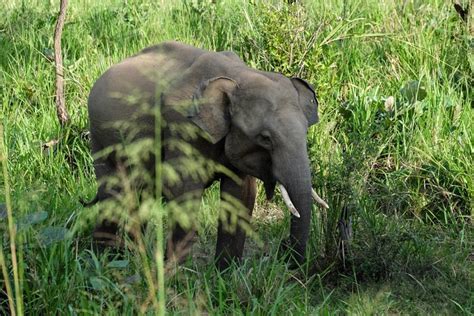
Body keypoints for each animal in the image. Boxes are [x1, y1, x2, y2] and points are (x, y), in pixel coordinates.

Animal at [87, 40, 326, 270]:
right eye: (265, 138)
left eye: (306, 131)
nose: (284, 251)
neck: (239, 76)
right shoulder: (182, 127)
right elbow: (185, 189)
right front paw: (175, 276)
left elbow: (240, 195)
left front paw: (225, 274)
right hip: (100, 138)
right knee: (112, 193)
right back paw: (104, 259)